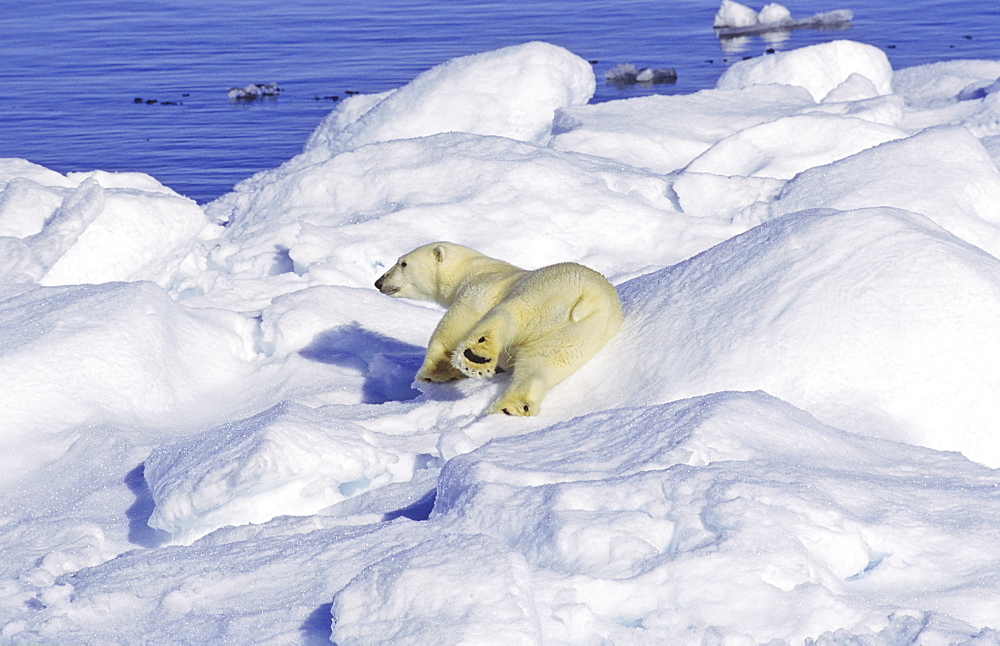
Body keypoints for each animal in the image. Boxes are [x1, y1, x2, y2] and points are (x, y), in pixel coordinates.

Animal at [376, 246, 620, 418]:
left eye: (403, 263)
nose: (378, 282)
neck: (474, 267)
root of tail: (589, 296)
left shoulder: (480, 288)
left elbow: (454, 326)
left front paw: (430, 374)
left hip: (543, 290)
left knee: (510, 314)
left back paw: (476, 356)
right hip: (584, 331)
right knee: (546, 362)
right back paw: (511, 407)